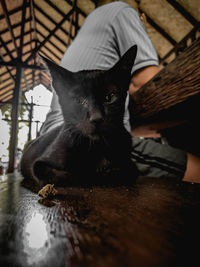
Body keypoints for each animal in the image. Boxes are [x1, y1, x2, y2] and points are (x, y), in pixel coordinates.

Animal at [20, 45, 139, 187]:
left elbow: (124, 171)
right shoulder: (38, 165)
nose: (96, 118)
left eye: (110, 97)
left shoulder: (130, 164)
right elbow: (69, 176)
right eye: (78, 100)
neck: (95, 148)